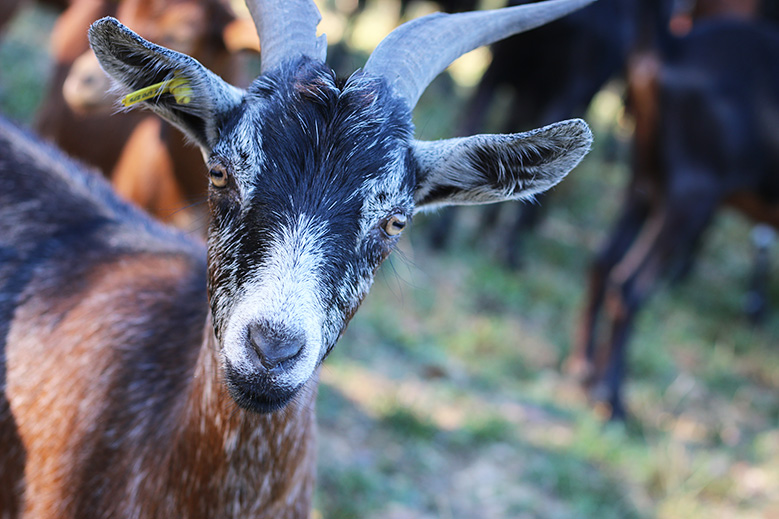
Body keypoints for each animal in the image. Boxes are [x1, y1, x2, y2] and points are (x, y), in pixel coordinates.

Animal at [568, 13, 779, 418]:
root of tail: (674, 46)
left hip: (645, 184)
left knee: (603, 263)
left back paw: (583, 368)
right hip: (691, 194)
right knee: (629, 286)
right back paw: (610, 397)